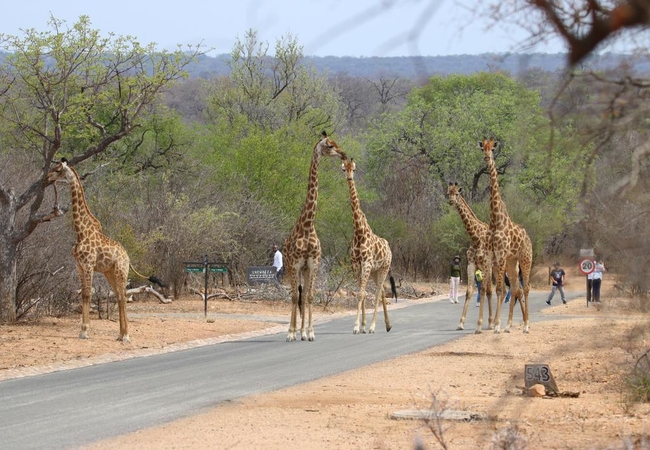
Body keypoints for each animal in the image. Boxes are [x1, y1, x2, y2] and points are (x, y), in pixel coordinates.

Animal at [46, 158, 130, 342]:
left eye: (57, 169)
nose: (47, 177)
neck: (80, 232)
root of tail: (127, 257)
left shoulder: (89, 264)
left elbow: (87, 295)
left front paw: (85, 331)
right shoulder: (79, 266)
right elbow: (84, 295)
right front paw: (82, 330)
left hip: (121, 271)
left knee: (123, 296)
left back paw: (126, 335)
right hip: (109, 272)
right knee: (119, 296)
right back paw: (120, 334)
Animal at [282, 132, 344, 342]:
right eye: (330, 145)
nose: (343, 154)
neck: (308, 226)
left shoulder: (313, 263)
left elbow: (309, 297)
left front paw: (309, 333)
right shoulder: (295, 264)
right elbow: (294, 296)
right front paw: (291, 333)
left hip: (304, 270)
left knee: (302, 294)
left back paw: (301, 332)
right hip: (291, 267)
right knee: (295, 294)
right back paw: (293, 331)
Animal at [340, 158, 394, 334]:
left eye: (354, 169)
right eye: (344, 169)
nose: (349, 178)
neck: (359, 232)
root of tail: (389, 247)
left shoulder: (367, 263)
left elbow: (362, 293)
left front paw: (358, 326)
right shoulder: (356, 265)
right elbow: (360, 293)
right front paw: (361, 325)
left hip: (383, 268)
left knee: (377, 293)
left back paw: (373, 326)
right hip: (375, 272)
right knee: (382, 291)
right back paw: (387, 325)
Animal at [448, 181, 494, 332]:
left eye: (457, 193)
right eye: (448, 192)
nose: (451, 201)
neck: (475, 238)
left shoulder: (485, 263)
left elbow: (483, 290)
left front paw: (479, 325)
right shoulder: (471, 264)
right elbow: (469, 291)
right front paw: (461, 323)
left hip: (496, 266)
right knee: (490, 290)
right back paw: (490, 322)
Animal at [478, 140, 528, 334]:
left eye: (493, 148)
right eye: (482, 148)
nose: (487, 157)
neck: (495, 219)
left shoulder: (500, 255)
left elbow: (499, 289)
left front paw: (496, 325)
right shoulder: (491, 254)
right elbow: (492, 289)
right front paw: (491, 325)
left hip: (524, 259)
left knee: (524, 288)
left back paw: (525, 326)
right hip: (511, 262)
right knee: (515, 288)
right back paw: (509, 325)